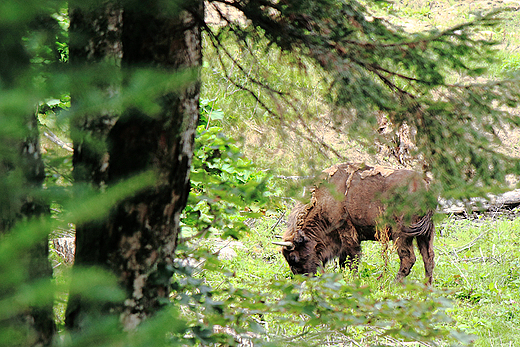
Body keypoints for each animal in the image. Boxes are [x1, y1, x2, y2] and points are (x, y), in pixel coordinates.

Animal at [274, 164, 436, 284]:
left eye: (293, 257)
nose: (304, 279)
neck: (324, 199)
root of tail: (425, 184)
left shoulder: (346, 231)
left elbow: (352, 258)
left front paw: (352, 279)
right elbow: (343, 260)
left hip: (401, 233)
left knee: (408, 258)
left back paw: (392, 283)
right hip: (425, 233)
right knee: (428, 257)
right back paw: (426, 285)